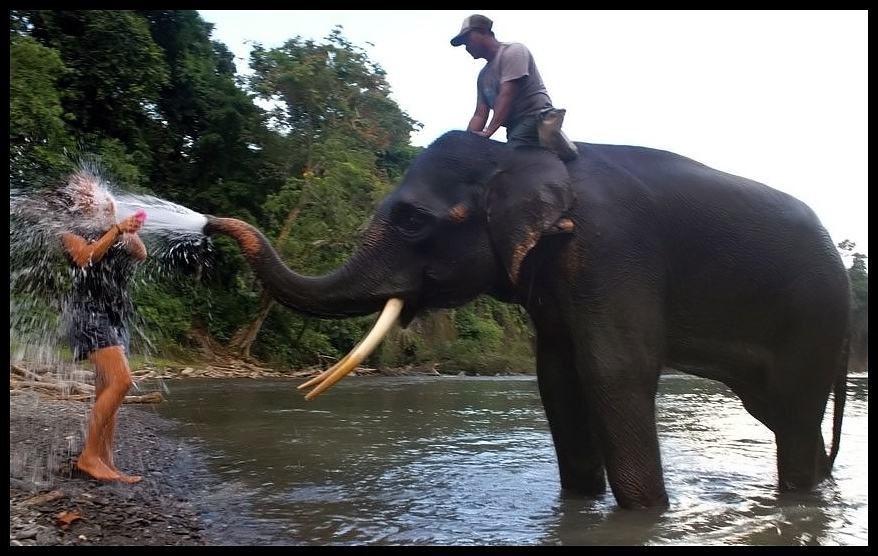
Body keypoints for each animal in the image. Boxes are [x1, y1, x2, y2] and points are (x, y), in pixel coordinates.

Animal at [203, 129, 848, 508]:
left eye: (412, 220)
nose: (207, 223)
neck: (519, 159)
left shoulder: (612, 249)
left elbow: (614, 371)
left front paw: (645, 515)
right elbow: (557, 378)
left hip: (811, 319)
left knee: (793, 416)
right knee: (786, 415)